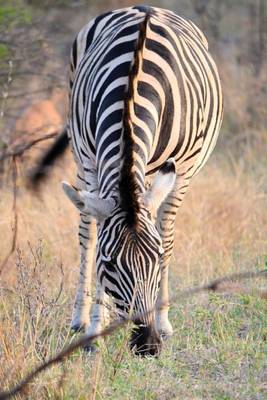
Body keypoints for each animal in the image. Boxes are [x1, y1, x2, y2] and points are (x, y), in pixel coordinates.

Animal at [30, 5, 224, 356]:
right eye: (108, 266)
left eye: (156, 260)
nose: (148, 344)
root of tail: (147, 7)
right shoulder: (91, 162)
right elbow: (93, 238)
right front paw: (95, 329)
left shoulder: (180, 169)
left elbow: (166, 238)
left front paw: (161, 321)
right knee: (86, 233)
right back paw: (81, 319)